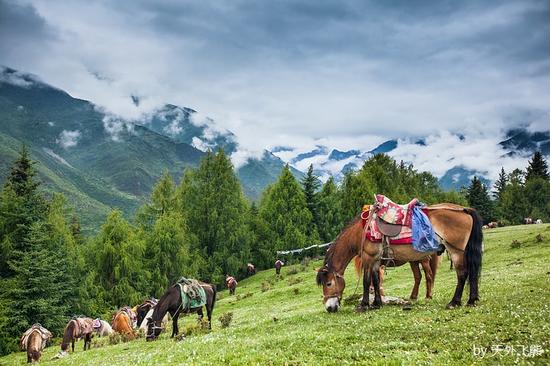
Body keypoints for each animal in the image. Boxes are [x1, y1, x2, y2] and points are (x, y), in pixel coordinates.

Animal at [316, 203, 486, 312]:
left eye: (329, 283)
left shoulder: (368, 258)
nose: (329, 308)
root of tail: (463, 210)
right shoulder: (376, 261)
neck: (362, 231)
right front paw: (377, 303)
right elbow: (376, 281)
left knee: (462, 274)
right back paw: (471, 300)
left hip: (455, 252)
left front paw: (364, 305)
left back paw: (454, 302)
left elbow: (366, 281)